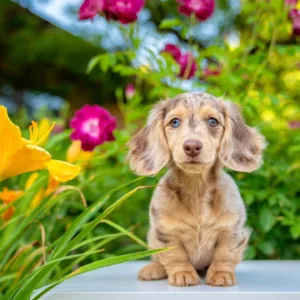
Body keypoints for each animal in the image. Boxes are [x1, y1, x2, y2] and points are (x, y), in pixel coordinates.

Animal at [127, 92, 266, 288]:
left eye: (213, 121)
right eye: (174, 122)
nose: (192, 146)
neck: (197, 189)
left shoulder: (231, 231)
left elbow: (224, 254)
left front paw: (221, 274)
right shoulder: (166, 232)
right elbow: (175, 255)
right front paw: (183, 274)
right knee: (157, 258)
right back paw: (153, 269)